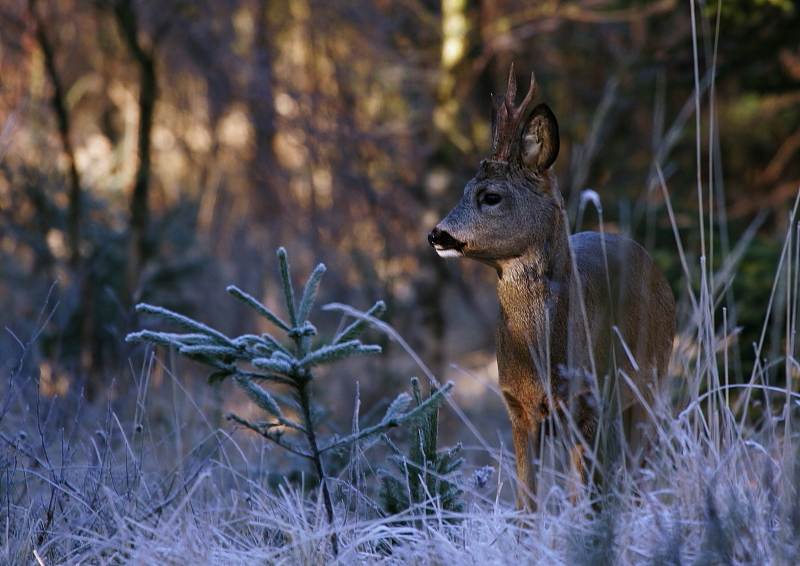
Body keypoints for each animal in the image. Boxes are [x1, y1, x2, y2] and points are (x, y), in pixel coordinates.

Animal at [424, 65, 676, 510]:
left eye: (491, 196)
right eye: (464, 190)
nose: (437, 235)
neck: (540, 353)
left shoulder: (590, 401)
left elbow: (588, 501)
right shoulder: (517, 406)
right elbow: (528, 506)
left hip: (649, 384)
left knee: (637, 471)